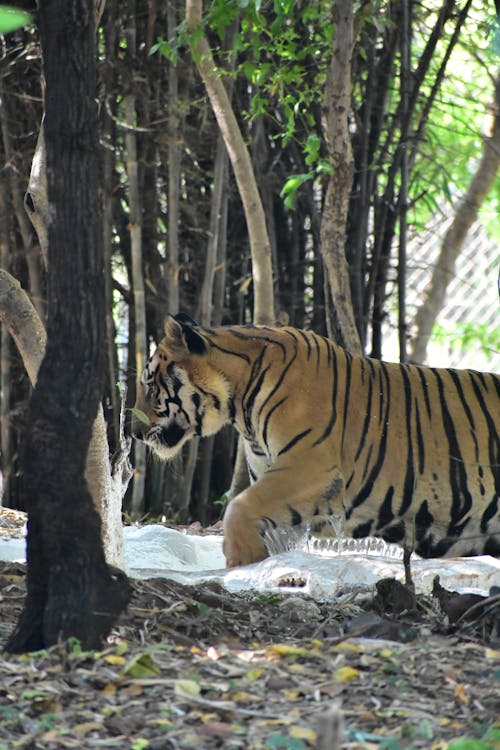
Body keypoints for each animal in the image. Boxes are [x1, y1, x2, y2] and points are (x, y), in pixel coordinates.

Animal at [131, 314, 498, 568]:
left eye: (149, 384)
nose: (133, 432)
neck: (240, 406)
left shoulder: (309, 466)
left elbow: (239, 506)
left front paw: (243, 560)